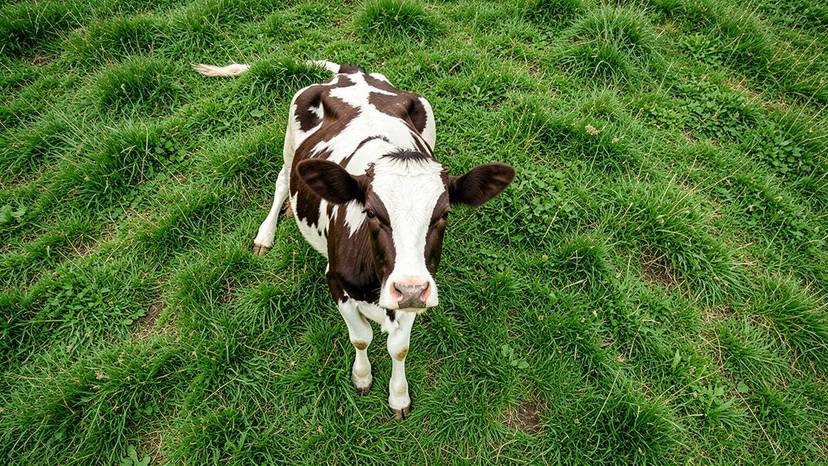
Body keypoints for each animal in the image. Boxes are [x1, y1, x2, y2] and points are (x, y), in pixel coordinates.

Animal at [194, 60, 514, 419]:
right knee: (281, 180)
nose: (411, 289)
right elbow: (361, 338)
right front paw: (362, 377)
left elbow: (399, 348)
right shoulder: (337, 282)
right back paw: (266, 234)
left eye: (444, 213)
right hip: (290, 141)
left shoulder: (412, 292)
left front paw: (398, 397)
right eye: (372, 213)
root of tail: (352, 72)